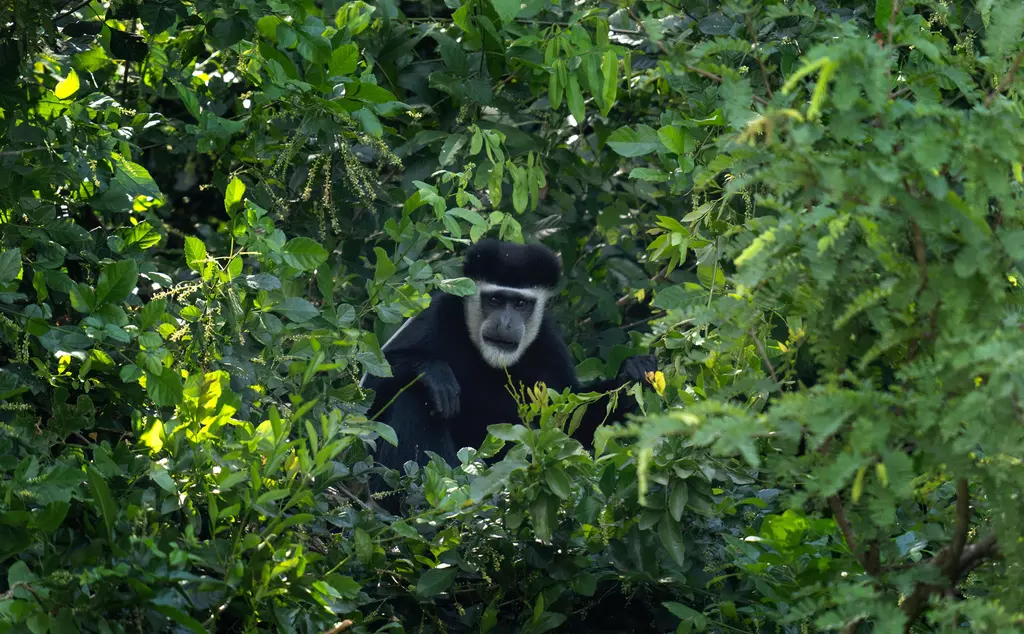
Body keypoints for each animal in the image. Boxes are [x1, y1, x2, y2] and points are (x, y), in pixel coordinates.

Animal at [360, 240, 655, 473]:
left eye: (521, 304)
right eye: (495, 300)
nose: (505, 323)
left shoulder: (548, 343)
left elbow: (569, 420)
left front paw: (633, 372)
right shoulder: (436, 315)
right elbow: (368, 397)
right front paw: (433, 372)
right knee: (413, 399)